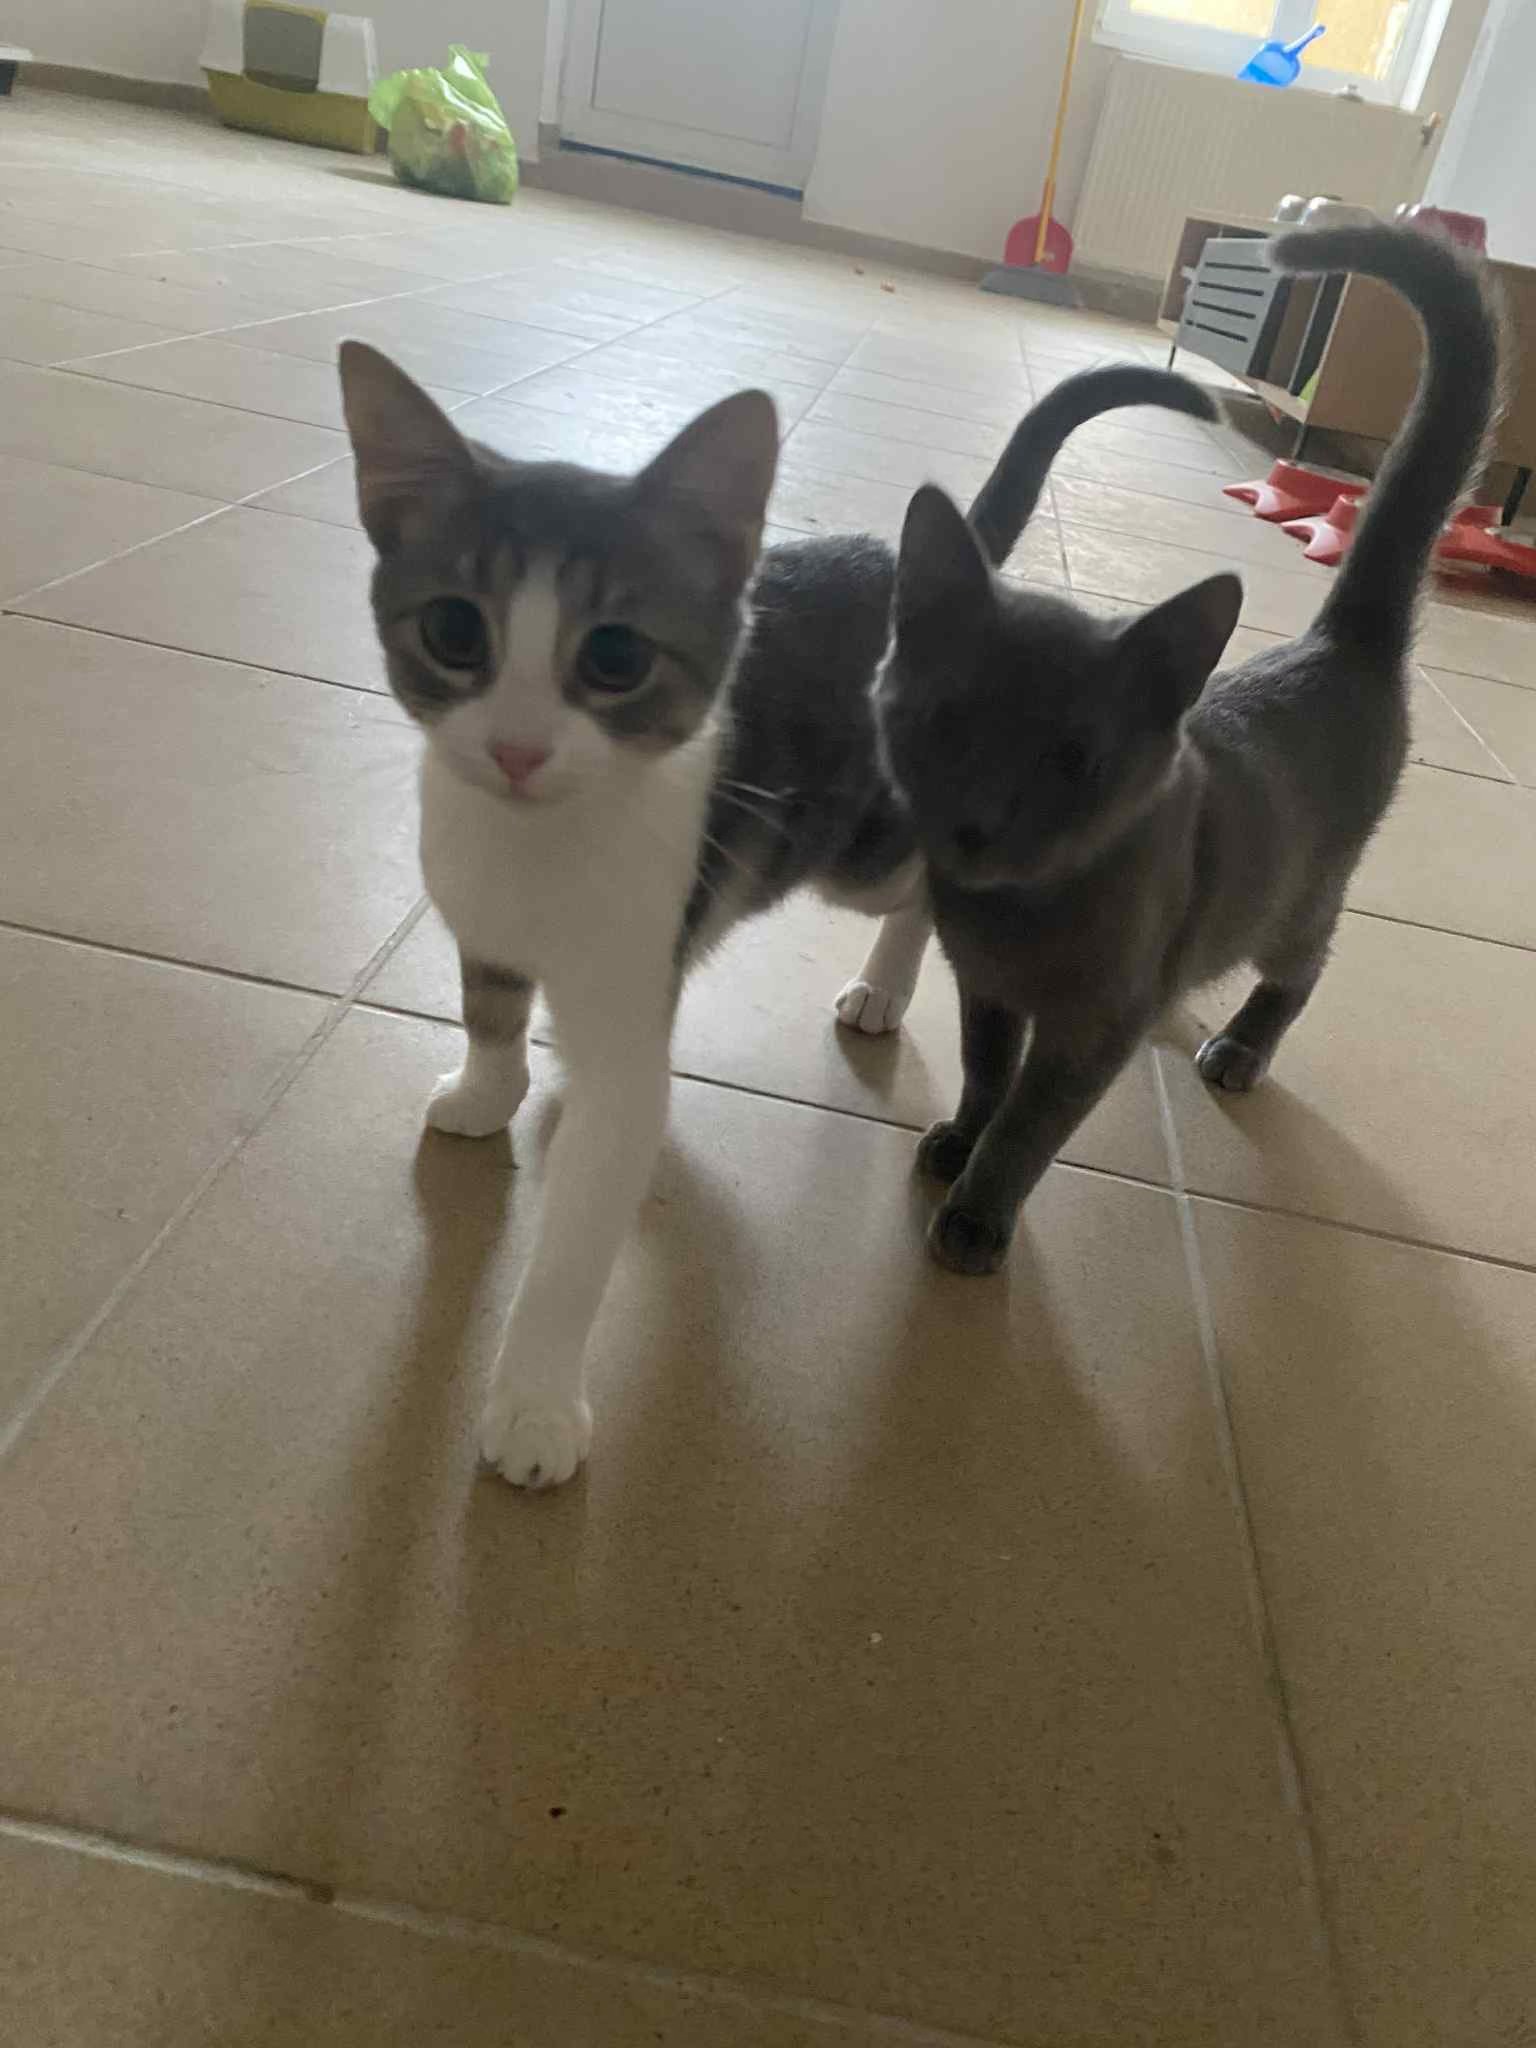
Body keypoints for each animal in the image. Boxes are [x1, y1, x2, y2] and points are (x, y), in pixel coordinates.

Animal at [339, 343, 1219, 1483]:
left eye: (613, 657)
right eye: (453, 630)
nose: (517, 749)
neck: (536, 847)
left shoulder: (632, 1003)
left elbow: (583, 1220)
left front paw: (533, 1404)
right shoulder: (479, 907)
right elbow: (489, 1005)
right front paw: (489, 1085)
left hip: (864, 845)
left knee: (928, 887)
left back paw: (897, 984)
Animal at [865, 223, 1501, 1275]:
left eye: (1074, 760)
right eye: (946, 722)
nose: (976, 826)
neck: (1021, 921)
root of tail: (1340, 641)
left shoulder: (1088, 1033)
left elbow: (1030, 1126)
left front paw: (977, 1214)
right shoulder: (985, 989)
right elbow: (984, 1070)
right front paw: (958, 1136)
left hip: (1297, 896)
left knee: (1306, 964)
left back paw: (1242, 1048)